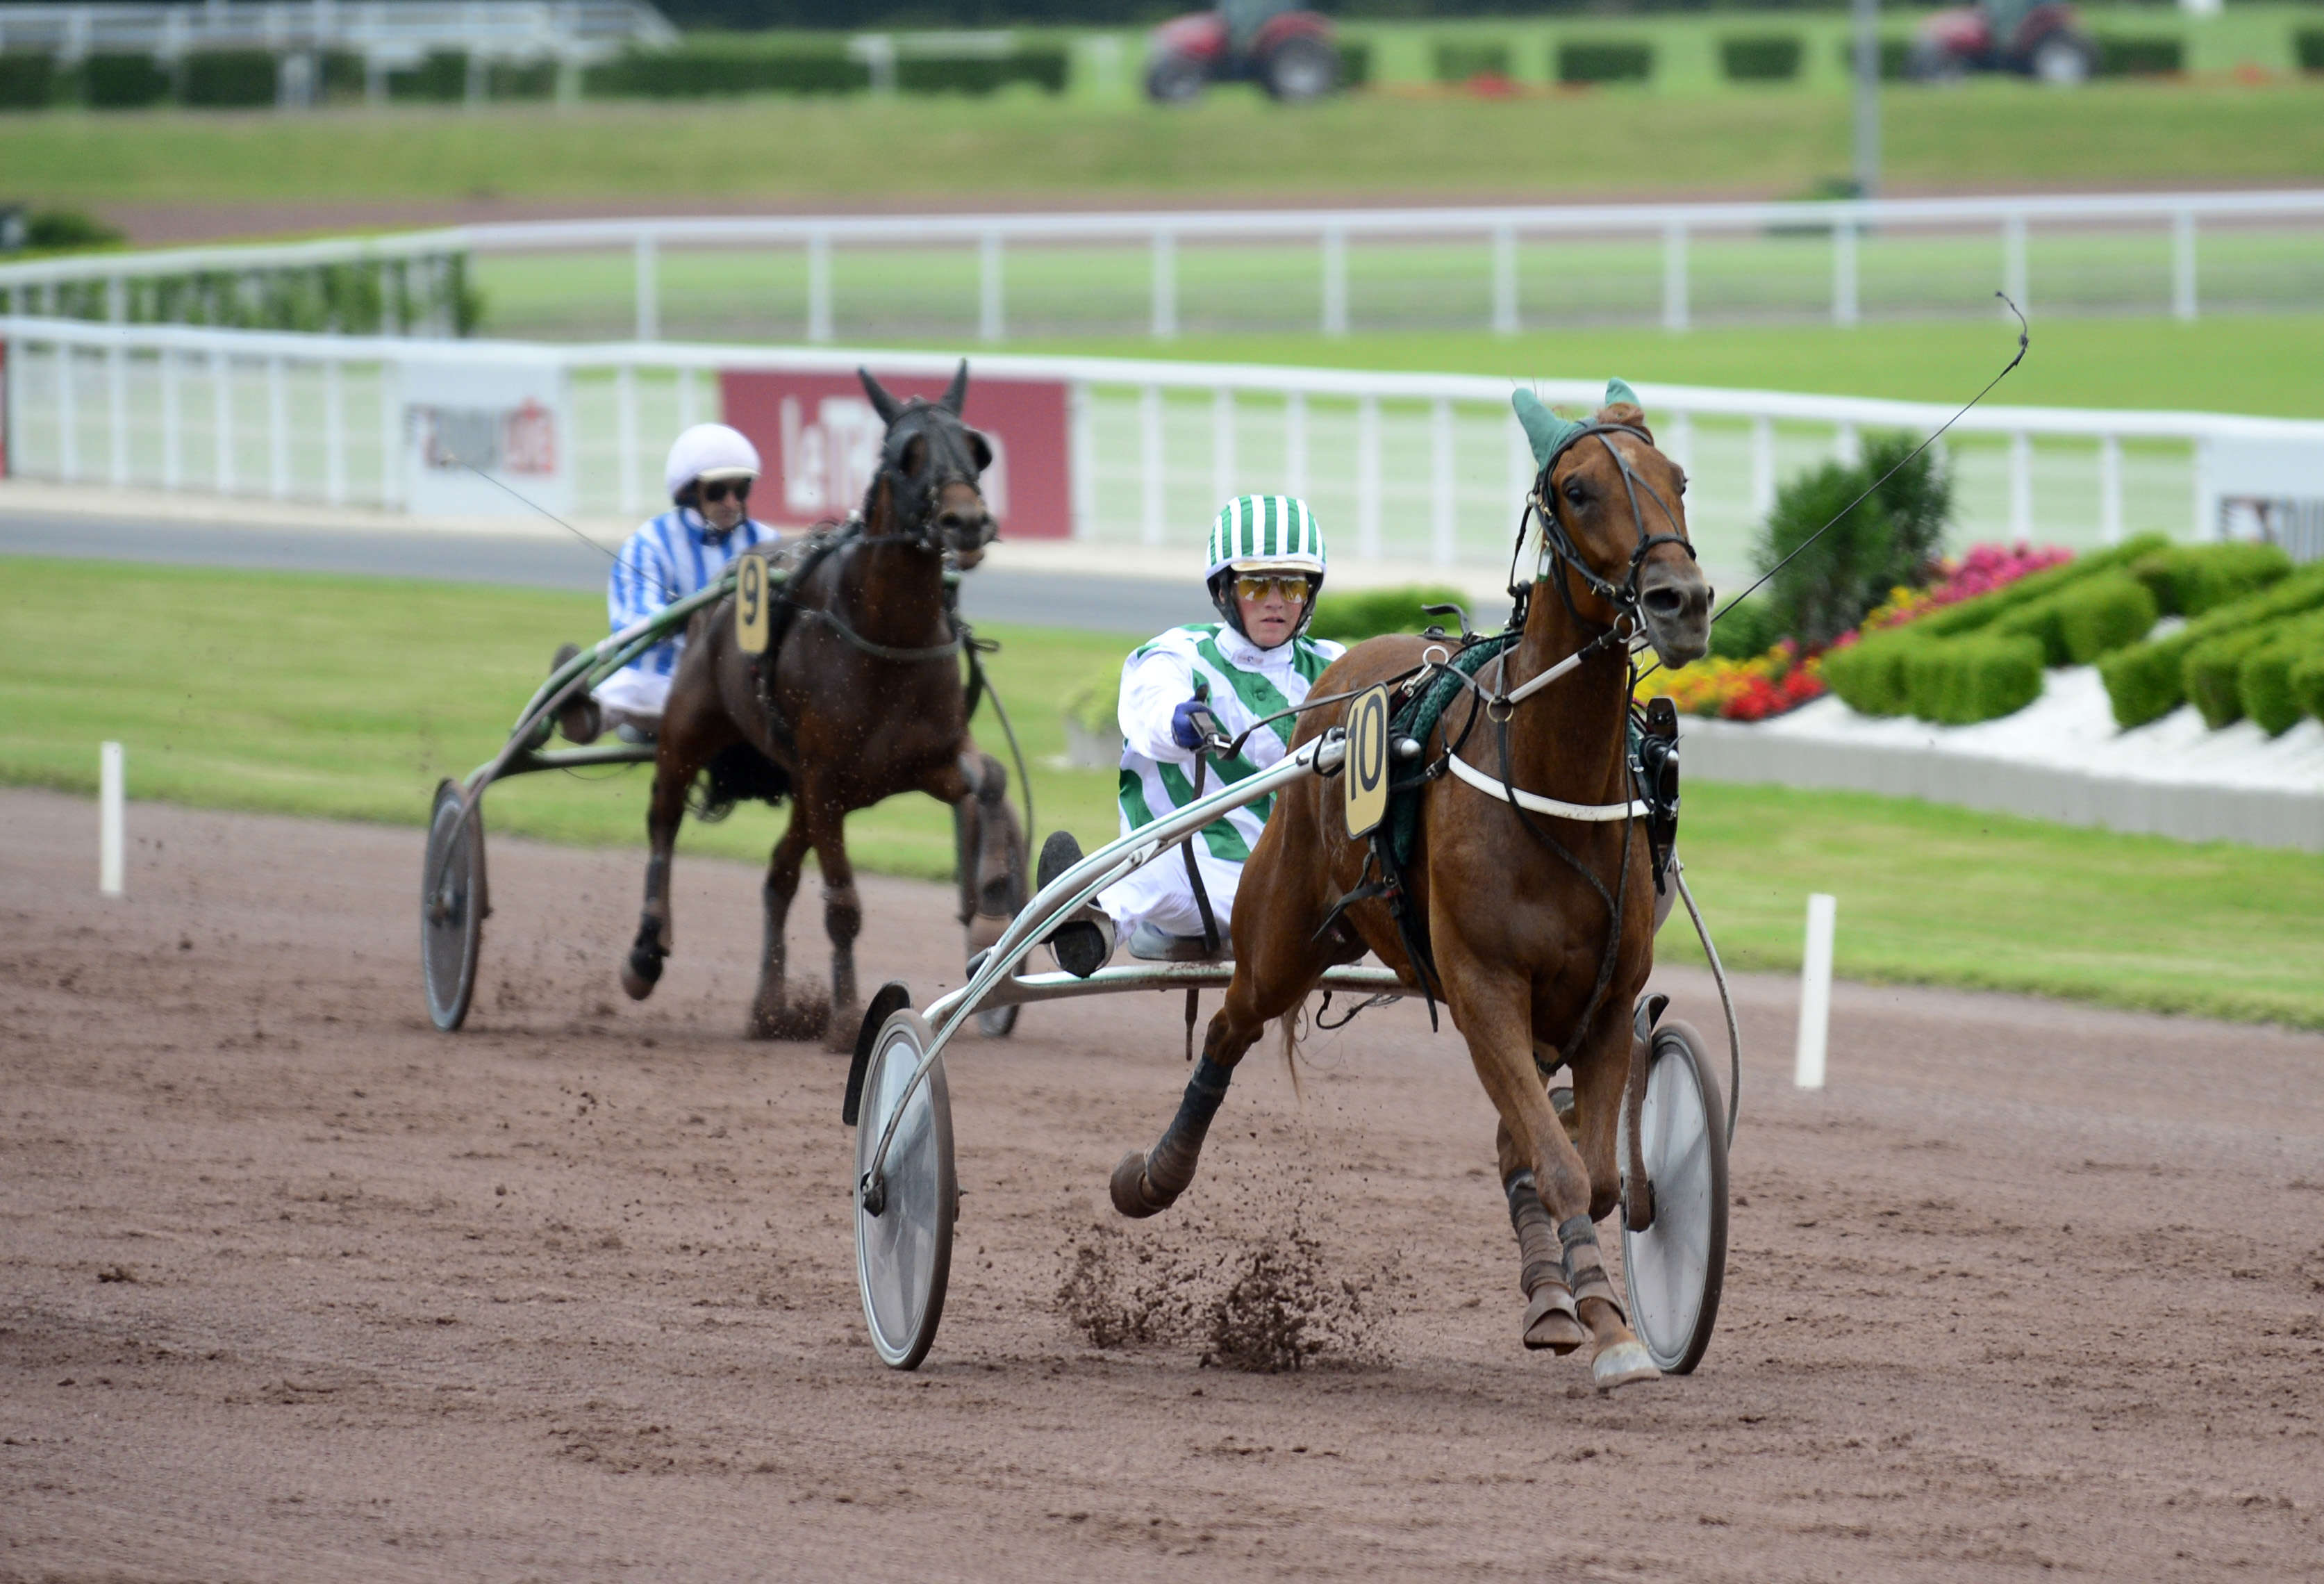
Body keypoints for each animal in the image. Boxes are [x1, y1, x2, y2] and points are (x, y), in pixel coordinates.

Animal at [618, 362, 1024, 1051]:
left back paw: (769, 1008)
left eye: (977, 449)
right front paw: (844, 1018)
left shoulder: (927, 760)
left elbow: (991, 781)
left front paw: (991, 918)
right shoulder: (827, 779)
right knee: (663, 820)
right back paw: (646, 953)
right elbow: (842, 906)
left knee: (777, 876)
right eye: (906, 454)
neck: (887, 637)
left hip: (808, 790)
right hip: (692, 730)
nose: (965, 523)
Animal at [1105, 383, 1712, 1391]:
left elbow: (1587, 1173)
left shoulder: (1603, 998)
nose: (1681, 600)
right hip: (1280, 937)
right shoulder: (1484, 988)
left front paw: (1595, 1310)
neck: (1546, 782)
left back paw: (1547, 1299)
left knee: (1514, 1137)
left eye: (1679, 478)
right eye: (1578, 489)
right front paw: (1609, 1330)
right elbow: (1556, 1165)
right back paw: (1153, 1175)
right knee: (1229, 1026)